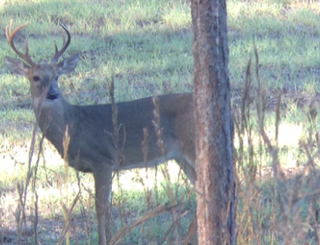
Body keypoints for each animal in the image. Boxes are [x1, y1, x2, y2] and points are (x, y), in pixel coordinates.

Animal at [5, 22, 196, 244]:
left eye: (57, 76)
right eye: (35, 77)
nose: (52, 93)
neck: (73, 125)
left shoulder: (103, 160)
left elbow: (101, 208)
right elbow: (106, 206)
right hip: (180, 156)